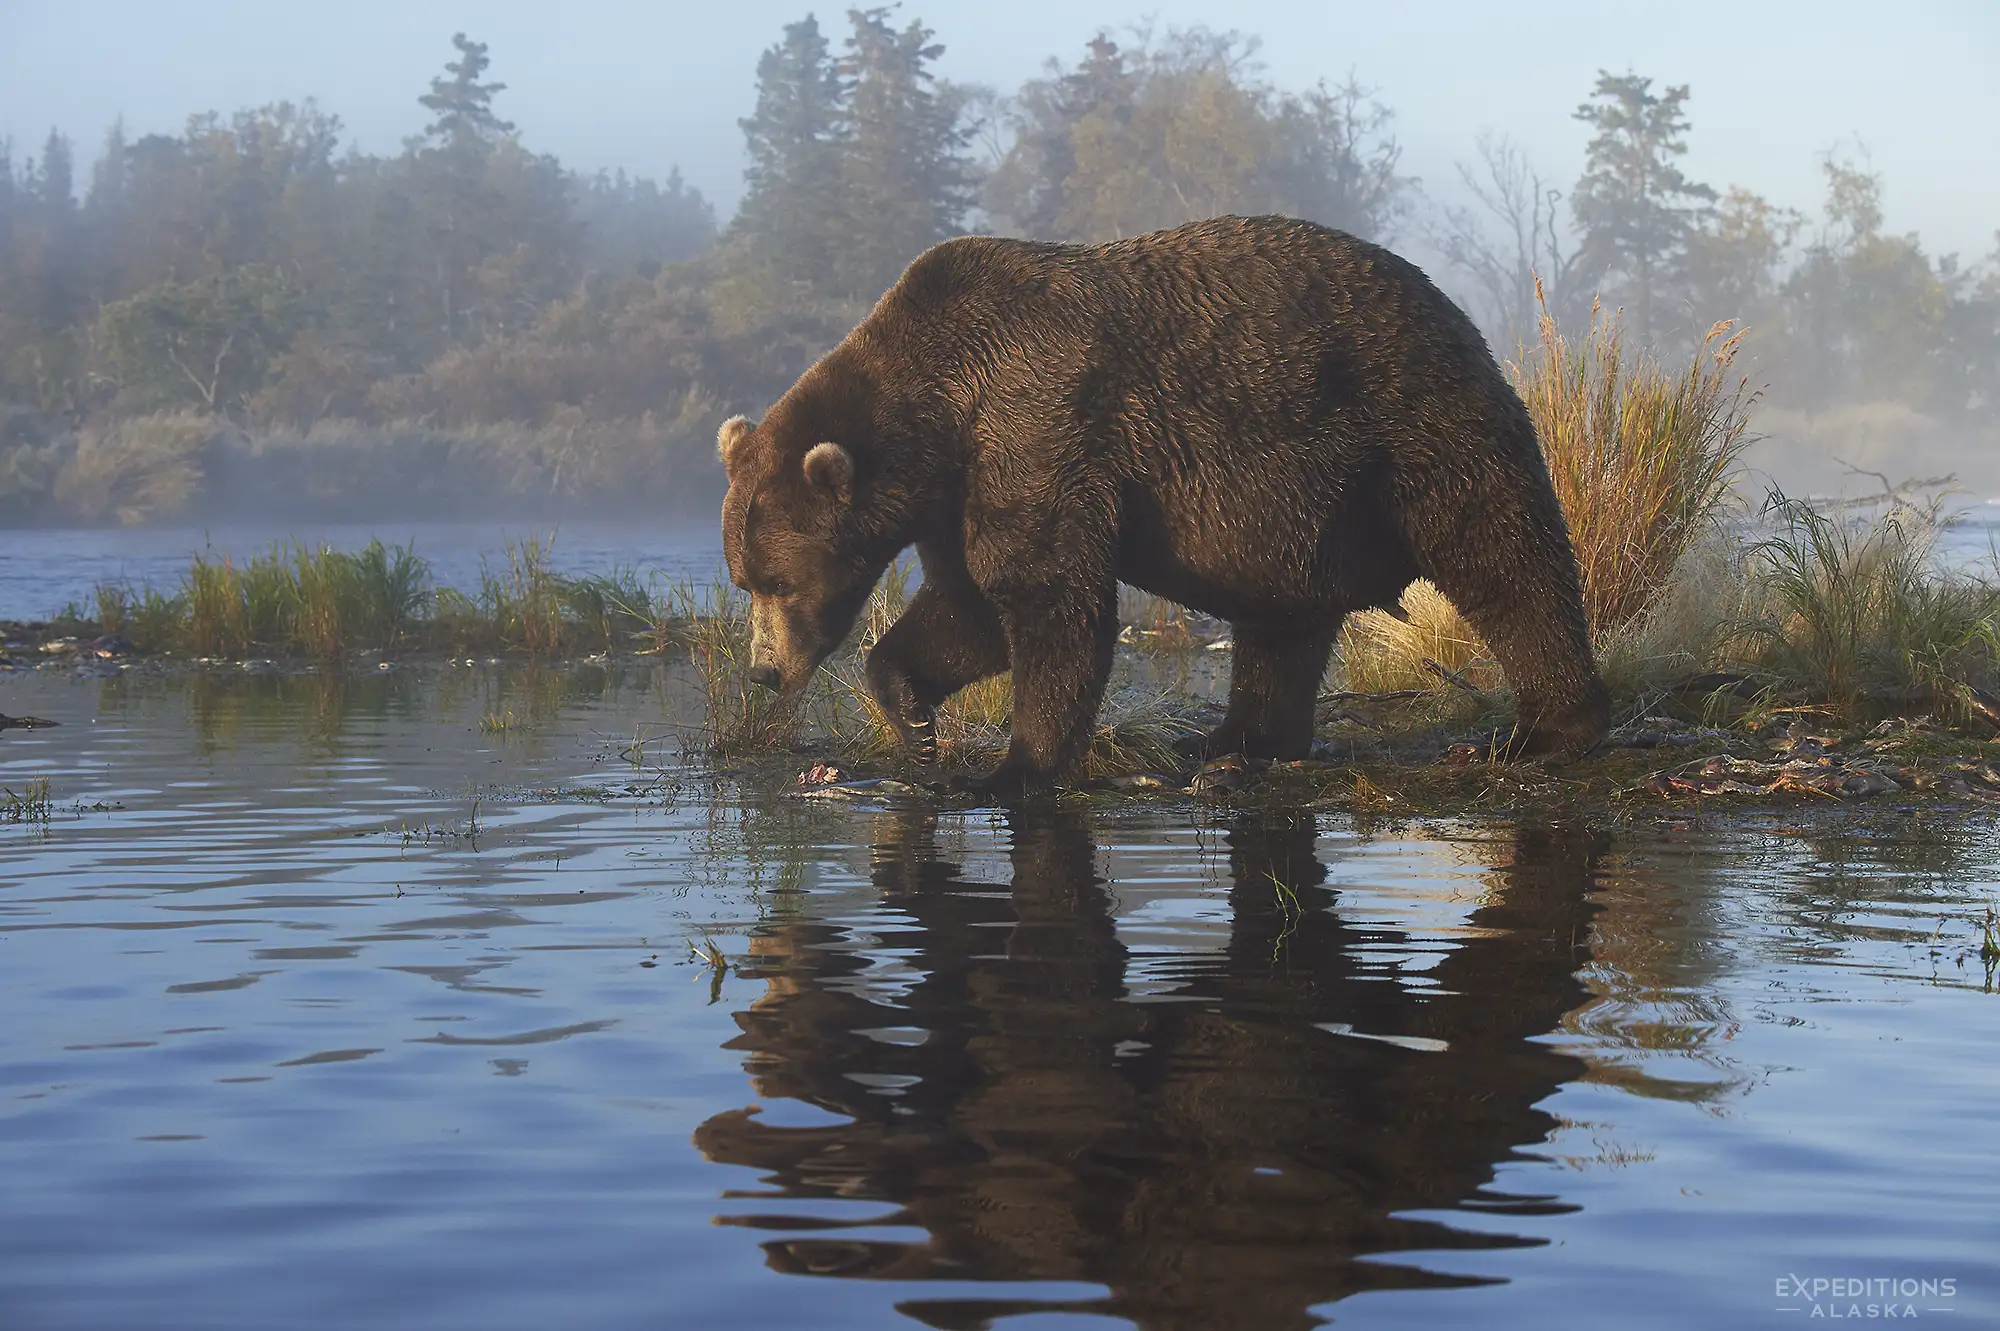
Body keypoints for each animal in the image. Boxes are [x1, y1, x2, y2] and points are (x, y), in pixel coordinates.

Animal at [718, 214, 1610, 797]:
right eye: (745, 579)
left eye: (781, 582)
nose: (763, 670)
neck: (940, 408)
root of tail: (1457, 313)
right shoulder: (958, 491)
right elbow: (967, 607)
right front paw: (916, 721)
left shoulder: (1038, 426)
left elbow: (1049, 599)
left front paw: (1017, 766)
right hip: (1301, 506)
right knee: (1282, 621)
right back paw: (1230, 739)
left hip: (1411, 425)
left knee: (1502, 553)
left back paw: (1544, 728)